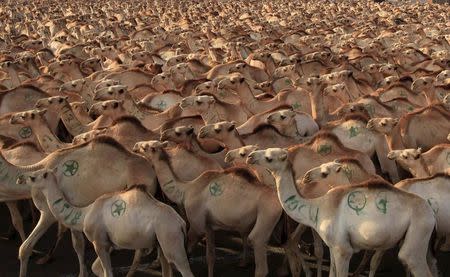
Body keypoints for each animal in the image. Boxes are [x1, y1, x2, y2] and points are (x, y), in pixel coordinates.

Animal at [246, 148, 440, 276]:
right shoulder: (333, 247)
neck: (317, 207)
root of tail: (431, 213)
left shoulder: (343, 250)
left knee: (411, 259)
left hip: (418, 233)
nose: (249, 156)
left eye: (269, 158)